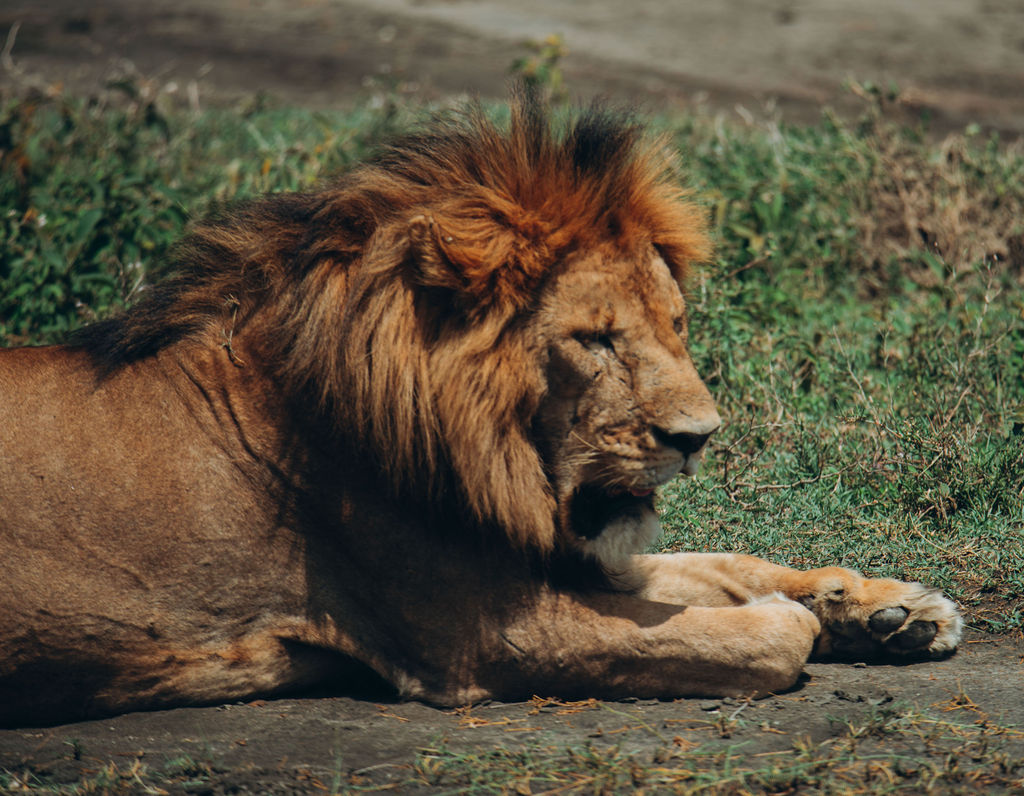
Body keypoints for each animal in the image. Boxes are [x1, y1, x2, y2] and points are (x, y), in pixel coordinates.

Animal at [0, 93, 961, 726]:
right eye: (595, 339)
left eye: (677, 324)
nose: (699, 439)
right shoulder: (496, 636)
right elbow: (741, 634)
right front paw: (802, 619)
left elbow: (724, 562)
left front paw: (884, 608)